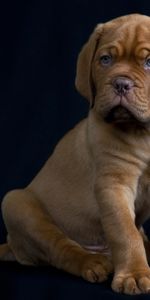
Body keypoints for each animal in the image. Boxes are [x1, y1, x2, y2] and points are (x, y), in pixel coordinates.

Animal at [1, 14, 150, 296]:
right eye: (106, 60)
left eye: (149, 62)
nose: (121, 83)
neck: (144, 132)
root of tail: (12, 246)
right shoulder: (114, 185)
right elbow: (126, 233)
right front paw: (134, 275)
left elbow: (132, 232)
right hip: (17, 204)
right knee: (61, 250)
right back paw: (92, 263)